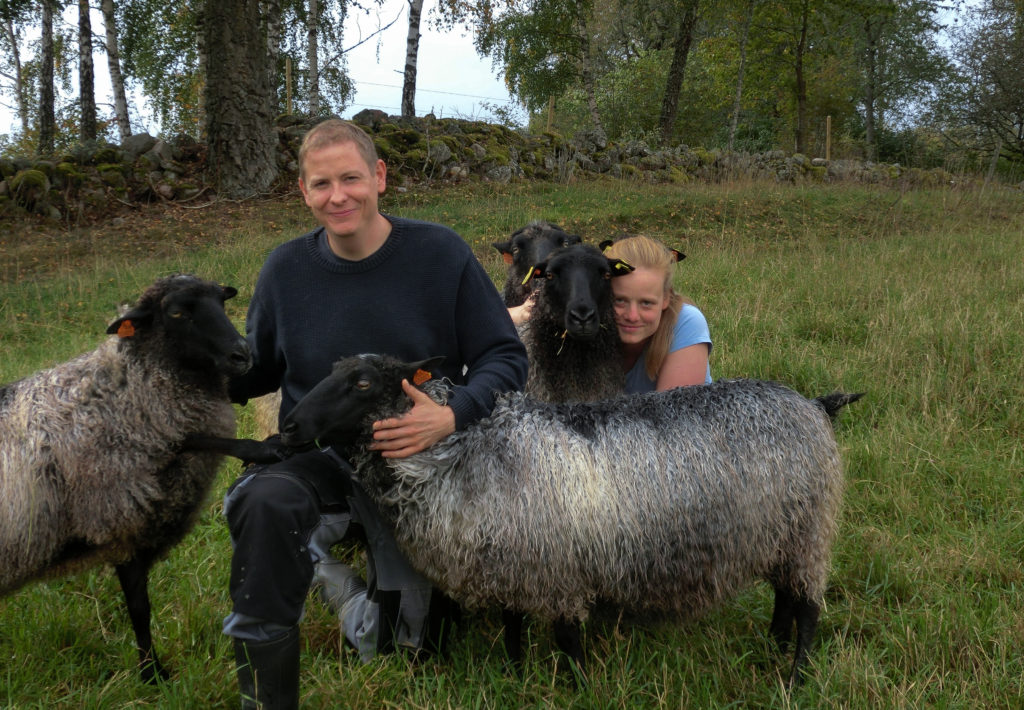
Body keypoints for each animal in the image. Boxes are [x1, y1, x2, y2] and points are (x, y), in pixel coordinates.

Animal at [0, 270, 251, 680]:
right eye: (177, 312)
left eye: (222, 301)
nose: (243, 354)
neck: (128, 394)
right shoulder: (121, 519)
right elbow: (139, 609)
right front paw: (152, 674)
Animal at [274, 354, 856, 688]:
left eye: (362, 383)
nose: (290, 426)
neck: (458, 453)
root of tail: (813, 403)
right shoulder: (508, 562)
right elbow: (512, 626)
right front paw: (515, 680)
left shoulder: (557, 568)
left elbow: (567, 638)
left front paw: (576, 689)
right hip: (781, 534)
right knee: (784, 597)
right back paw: (772, 648)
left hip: (808, 530)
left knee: (807, 607)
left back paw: (796, 678)